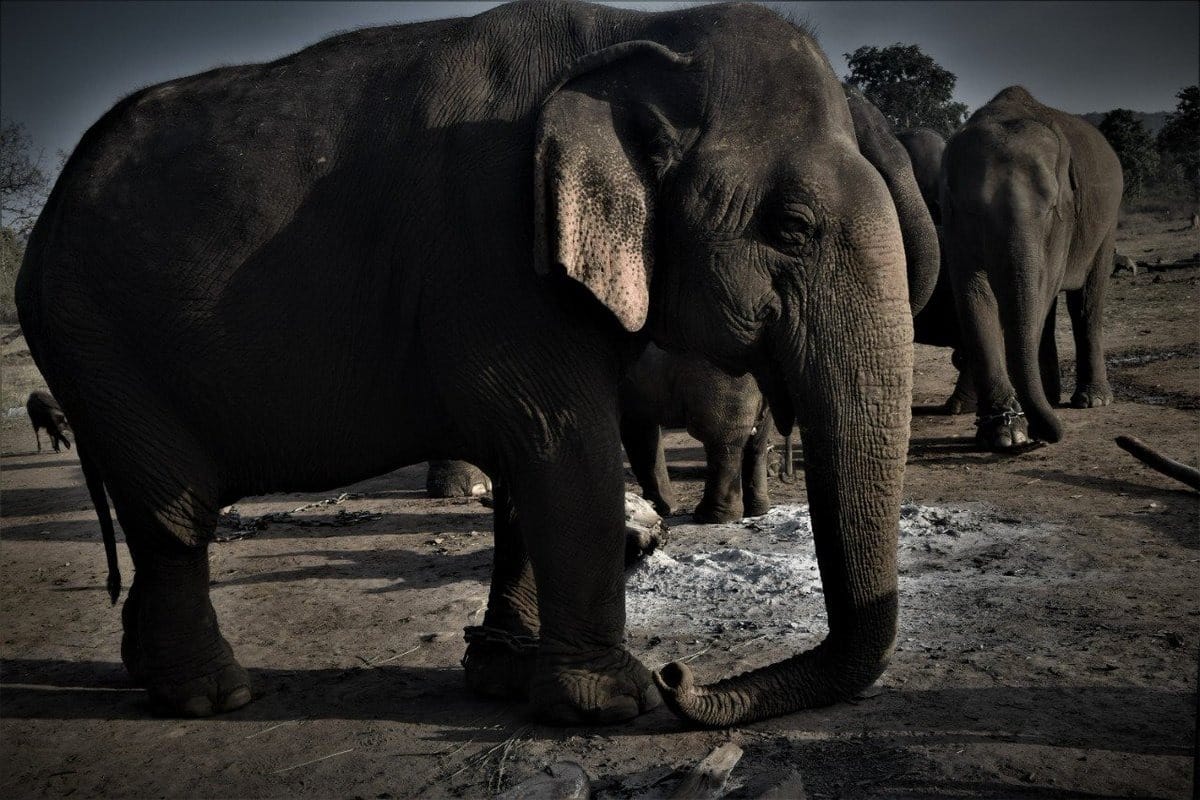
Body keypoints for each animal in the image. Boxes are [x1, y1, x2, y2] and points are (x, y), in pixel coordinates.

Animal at [620, 342, 771, 523]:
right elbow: (640, 429)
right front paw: (660, 509)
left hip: (723, 377)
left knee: (720, 441)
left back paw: (708, 517)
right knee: (757, 445)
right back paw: (758, 511)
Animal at [941, 86, 1123, 450]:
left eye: (1051, 208)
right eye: (972, 210)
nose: (1045, 436)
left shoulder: (1065, 219)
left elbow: (1042, 287)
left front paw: (1020, 426)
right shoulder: (952, 222)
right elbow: (972, 292)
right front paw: (1004, 433)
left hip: (1106, 223)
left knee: (1086, 301)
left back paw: (1092, 400)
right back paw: (1052, 398)